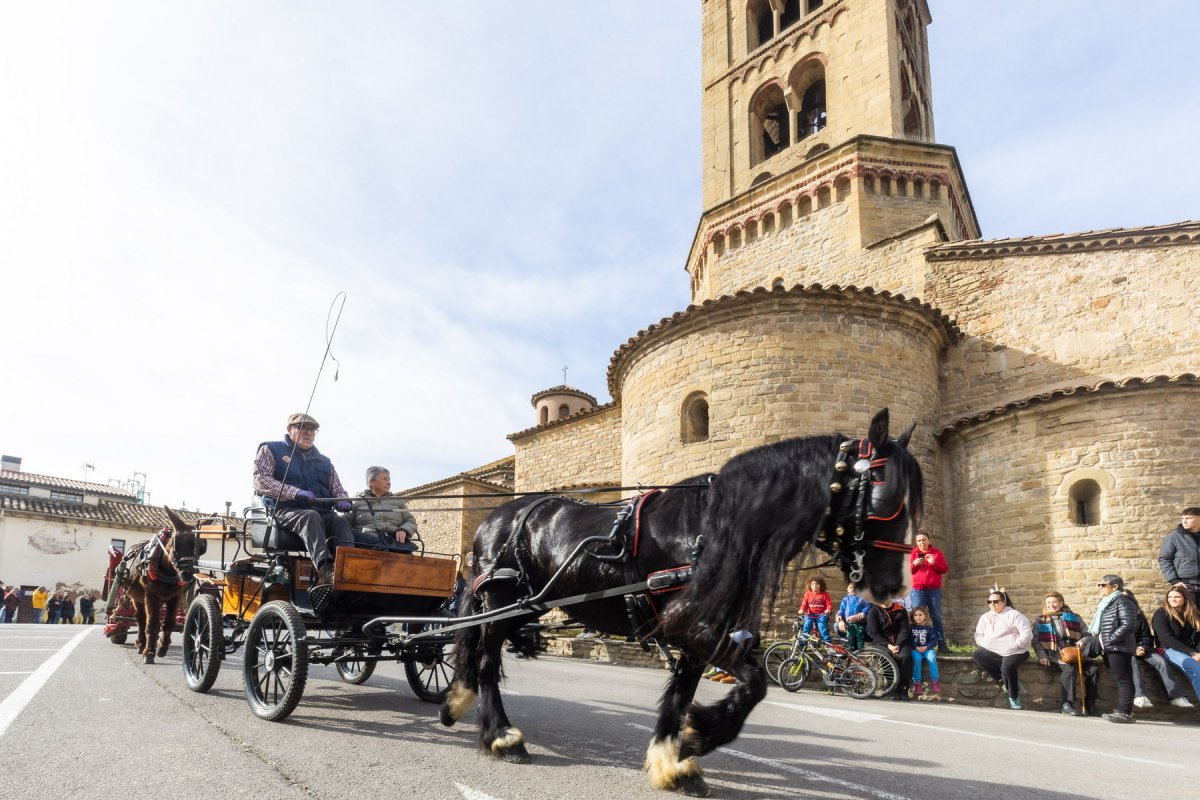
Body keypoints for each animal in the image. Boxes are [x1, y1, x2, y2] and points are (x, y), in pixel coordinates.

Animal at [124, 513, 204, 662]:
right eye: (175, 544)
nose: (188, 572)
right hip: (136, 598)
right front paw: (149, 652)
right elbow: (152, 623)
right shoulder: (152, 595)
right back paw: (141, 643)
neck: (168, 571)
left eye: (201, 547)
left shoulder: (175, 596)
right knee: (141, 619)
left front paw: (162, 647)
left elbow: (169, 623)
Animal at [446, 410, 921, 796]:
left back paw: (457, 700)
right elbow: (754, 682)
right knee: (487, 660)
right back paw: (501, 735)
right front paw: (700, 735)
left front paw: (673, 761)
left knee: (477, 650)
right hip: (501, 597)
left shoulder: (700, 632)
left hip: (525, 607)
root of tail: (493, 517)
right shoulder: (693, 628)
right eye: (885, 500)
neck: (715, 527)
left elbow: (684, 692)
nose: (892, 587)